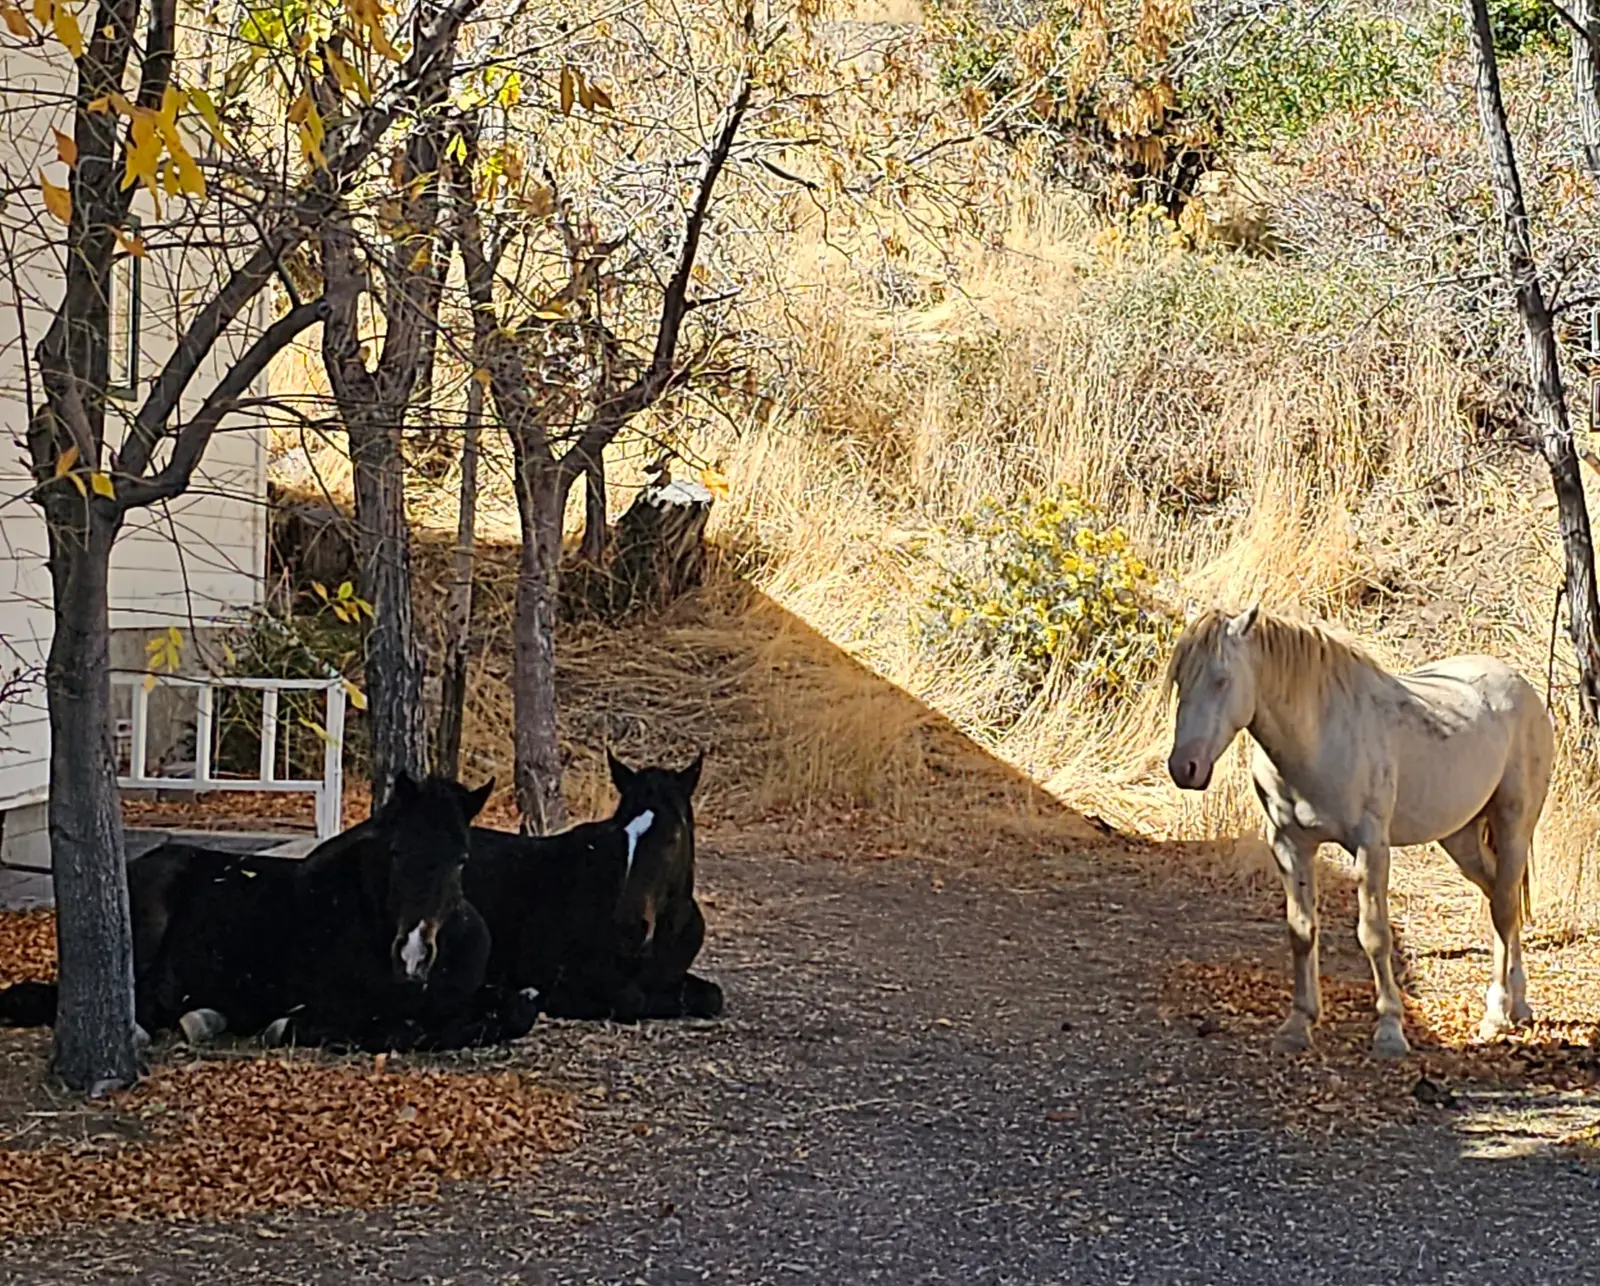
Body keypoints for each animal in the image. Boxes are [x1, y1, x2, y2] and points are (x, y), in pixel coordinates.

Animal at [1165, 604, 1553, 1059]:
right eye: (1180, 679)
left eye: (1221, 679)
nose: (1184, 768)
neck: (1319, 737)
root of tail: (1521, 688)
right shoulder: (1290, 845)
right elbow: (1301, 931)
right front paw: (1298, 1024)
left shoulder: (1371, 847)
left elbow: (1374, 935)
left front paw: (1389, 1030)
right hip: (1460, 838)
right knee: (1498, 897)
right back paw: (1515, 1004)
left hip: (1514, 825)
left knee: (1504, 906)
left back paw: (1499, 1012)